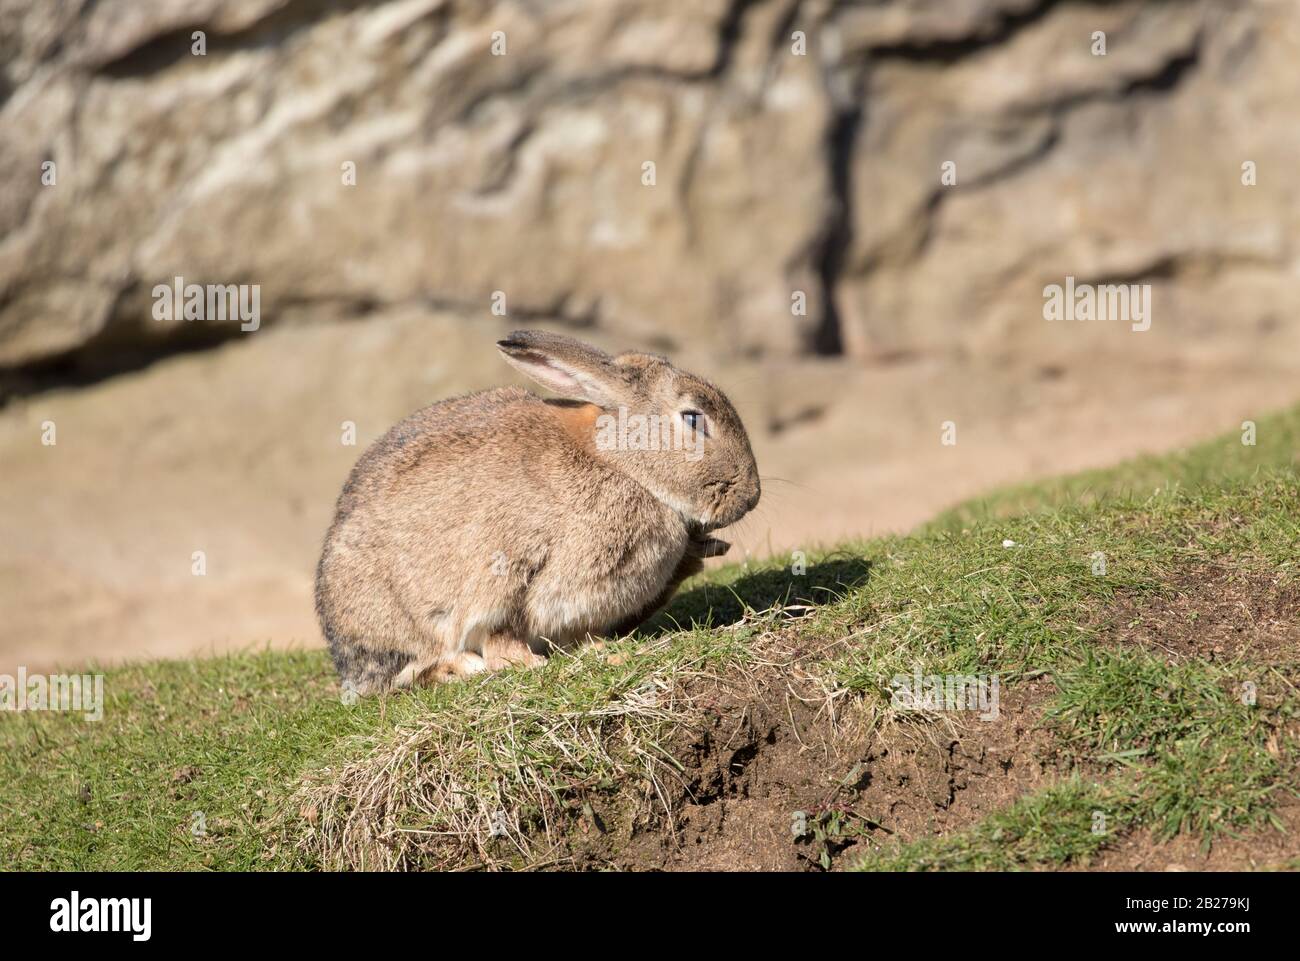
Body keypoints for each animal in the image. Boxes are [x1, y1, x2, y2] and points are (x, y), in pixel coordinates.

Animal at [315, 329, 761, 693]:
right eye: (693, 419)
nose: (750, 497)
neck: (619, 462)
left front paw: (608, 650)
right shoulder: (506, 572)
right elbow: (499, 632)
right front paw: (528, 665)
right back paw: (460, 668)